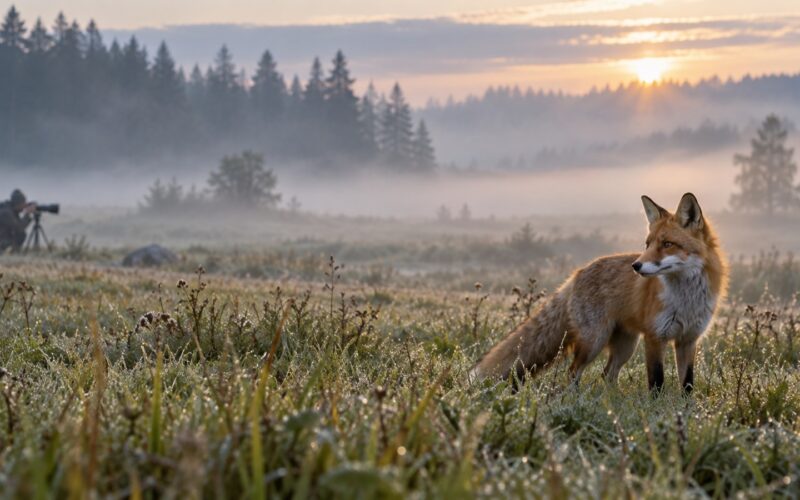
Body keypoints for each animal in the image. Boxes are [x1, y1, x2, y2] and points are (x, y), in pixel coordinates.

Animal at [473, 193, 727, 393]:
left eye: (667, 244)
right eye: (647, 244)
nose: (636, 266)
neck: (686, 300)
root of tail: (577, 273)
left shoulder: (688, 339)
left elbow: (688, 384)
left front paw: (685, 411)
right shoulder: (655, 337)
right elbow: (656, 383)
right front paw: (656, 411)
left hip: (625, 346)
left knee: (607, 375)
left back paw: (610, 402)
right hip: (594, 341)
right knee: (573, 372)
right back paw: (573, 401)